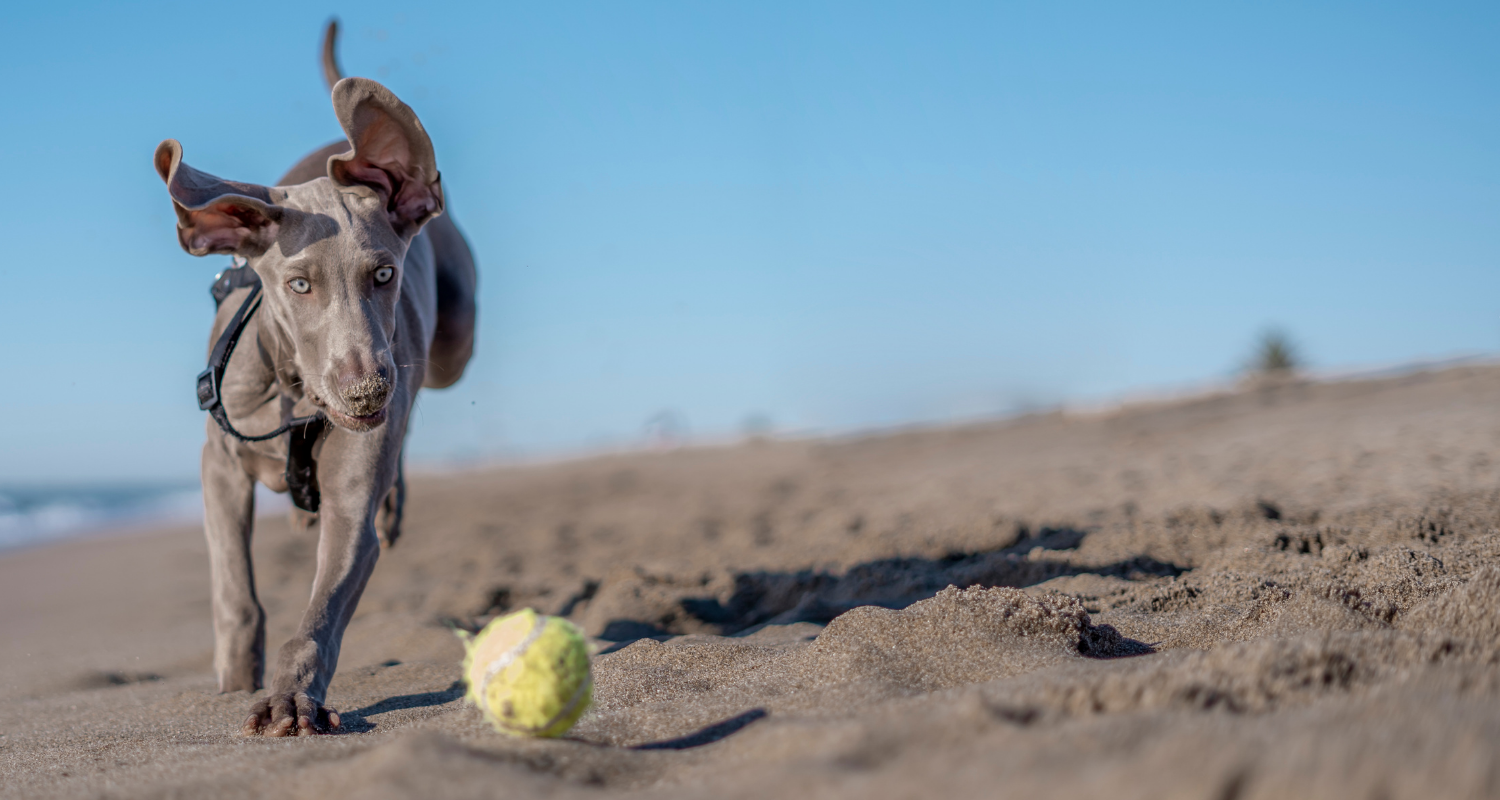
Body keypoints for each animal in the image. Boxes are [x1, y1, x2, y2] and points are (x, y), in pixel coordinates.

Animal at [152, 23, 474, 735]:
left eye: (384, 274)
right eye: (298, 285)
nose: (366, 390)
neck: (296, 394)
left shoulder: (353, 497)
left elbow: (322, 610)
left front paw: (291, 698)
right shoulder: (218, 465)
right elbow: (236, 590)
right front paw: (237, 678)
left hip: (452, 346)